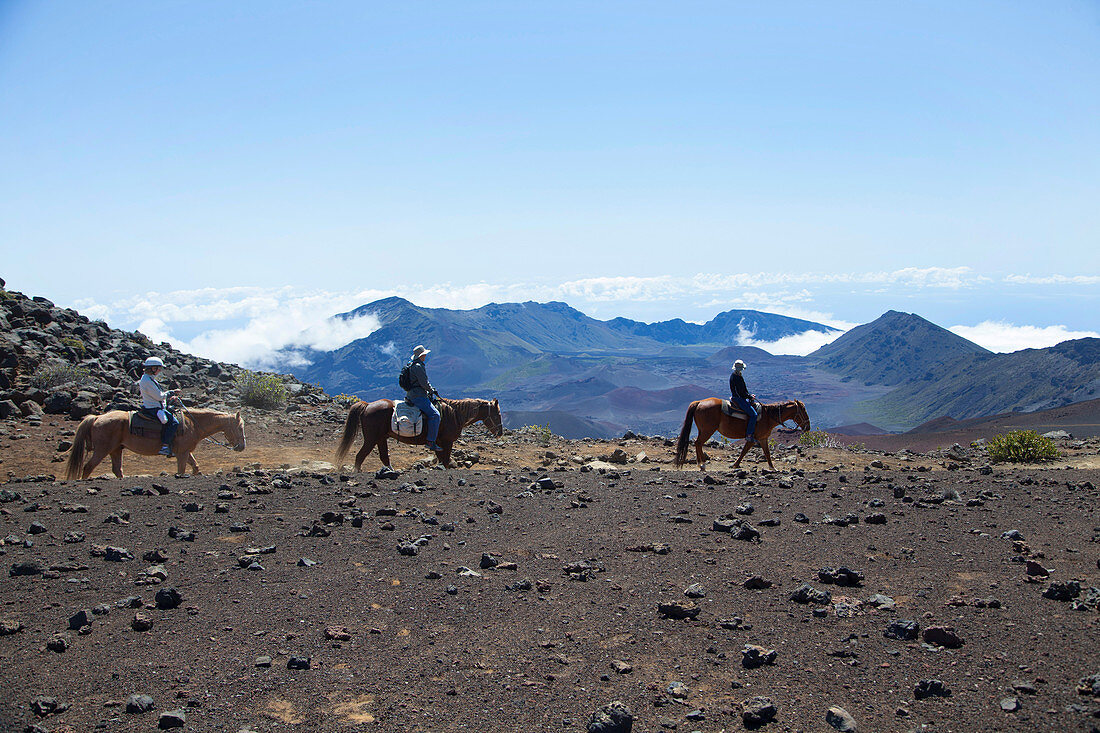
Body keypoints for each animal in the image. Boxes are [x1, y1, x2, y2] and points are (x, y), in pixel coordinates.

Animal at [65, 405, 248, 479]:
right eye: (240, 427)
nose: (242, 447)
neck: (194, 424)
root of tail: (97, 417)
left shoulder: (186, 452)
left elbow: (195, 467)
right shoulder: (182, 453)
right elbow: (181, 471)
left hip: (116, 449)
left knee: (117, 469)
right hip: (102, 449)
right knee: (88, 467)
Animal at [336, 396, 503, 471]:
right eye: (497, 415)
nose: (500, 432)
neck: (455, 414)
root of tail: (367, 405)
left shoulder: (439, 444)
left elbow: (442, 461)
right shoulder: (446, 442)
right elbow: (446, 461)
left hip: (381, 438)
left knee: (384, 458)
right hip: (371, 439)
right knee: (360, 456)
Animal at [668, 400, 809, 468]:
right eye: (803, 410)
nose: (808, 426)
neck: (768, 416)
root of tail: (698, 403)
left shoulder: (763, 438)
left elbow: (767, 453)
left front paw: (772, 467)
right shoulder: (752, 438)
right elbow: (744, 451)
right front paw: (735, 464)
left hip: (704, 430)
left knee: (698, 443)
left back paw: (701, 462)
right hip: (708, 430)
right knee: (698, 443)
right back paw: (701, 463)